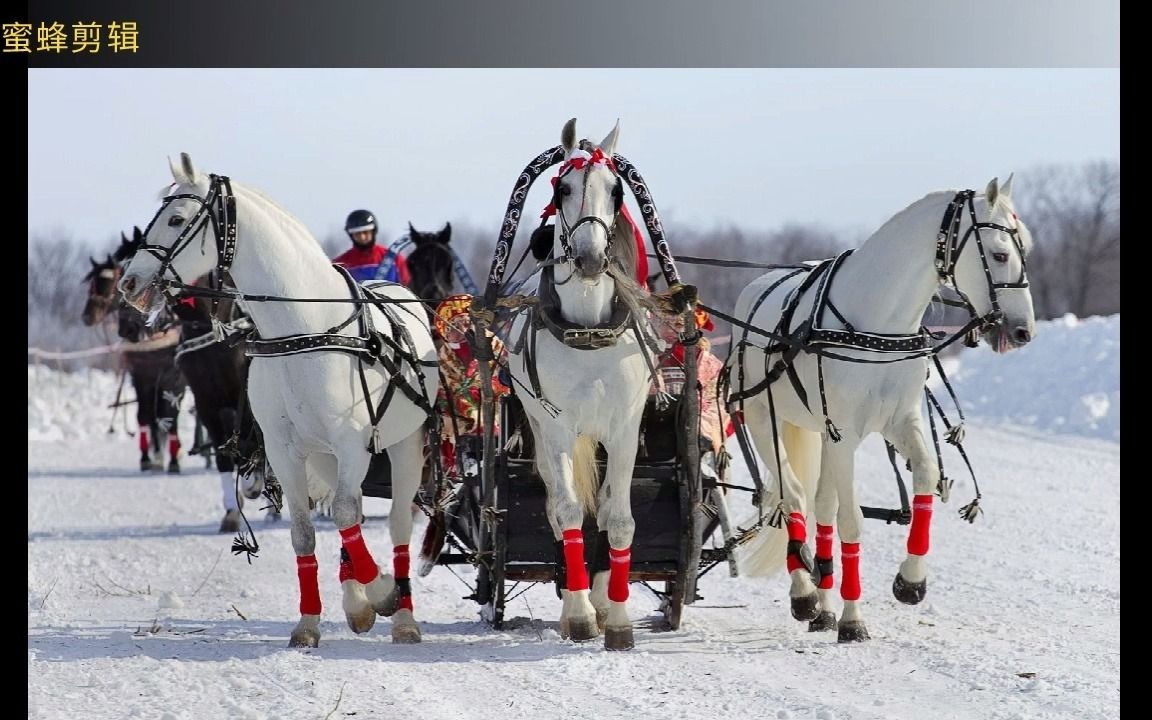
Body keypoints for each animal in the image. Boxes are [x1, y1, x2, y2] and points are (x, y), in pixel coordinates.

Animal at [118, 152, 435, 645]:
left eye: (175, 219)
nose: (130, 283)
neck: (303, 329)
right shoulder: (286, 449)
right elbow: (307, 531)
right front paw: (309, 623)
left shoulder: (352, 443)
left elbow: (345, 515)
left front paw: (382, 592)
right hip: (325, 455)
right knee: (354, 516)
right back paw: (356, 602)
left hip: (404, 446)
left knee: (397, 521)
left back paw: (402, 615)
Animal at [506, 116, 658, 645]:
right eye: (564, 188)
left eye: (616, 191)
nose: (591, 258)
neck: (588, 327)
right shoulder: (555, 428)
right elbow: (570, 512)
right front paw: (579, 616)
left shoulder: (625, 429)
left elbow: (619, 518)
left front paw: (617, 616)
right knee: (557, 503)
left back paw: (599, 593)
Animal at [732, 177, 1041, 645]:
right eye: (1001, 253)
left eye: (1027, 247)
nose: (1024, 331)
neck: (878, 327)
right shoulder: (843, 433)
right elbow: (852, 520)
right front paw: (853, 618)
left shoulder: (899, 422)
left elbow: (926, 477)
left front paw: (910, 581)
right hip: (766, 421)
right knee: (793, 498)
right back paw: (805, 594)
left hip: (820, 434)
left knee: (820, 506)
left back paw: (823, 607)